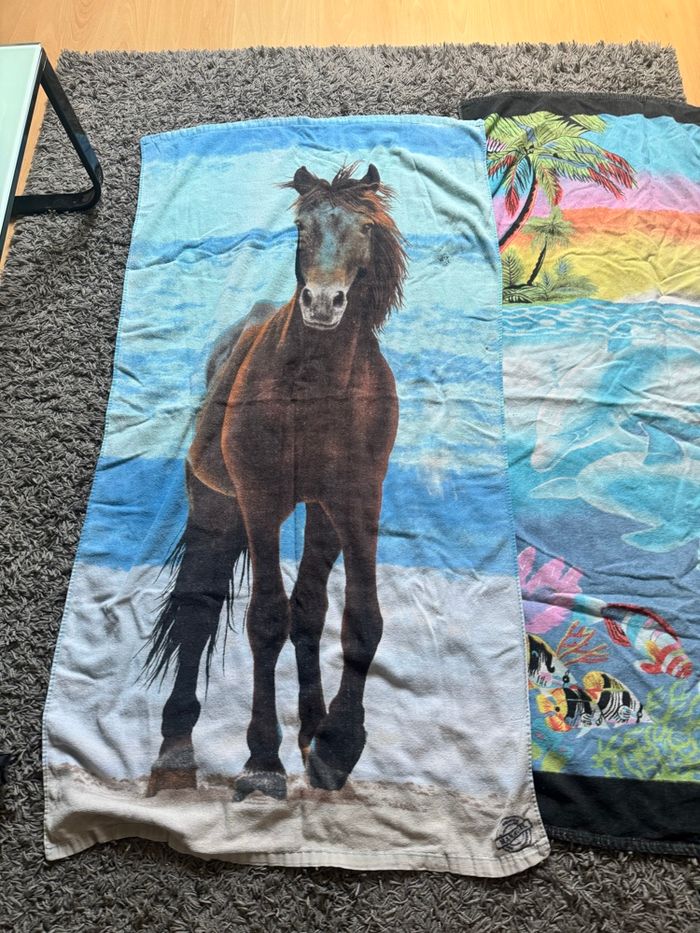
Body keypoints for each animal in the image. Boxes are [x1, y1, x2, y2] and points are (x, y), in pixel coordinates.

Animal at [143, 162, 408, 801]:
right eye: (302, 227)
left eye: (365, 228)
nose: (323, 301)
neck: (315, 393)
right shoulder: (260, 503)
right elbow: (265, 618)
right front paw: (263, 761)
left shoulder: (356, 501)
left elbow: (360, 620)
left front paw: (338, 744)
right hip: (218, 510)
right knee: (198, 610)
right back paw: (176, 750)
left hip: (320, 517)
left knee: (310, 609)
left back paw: (311, 731)